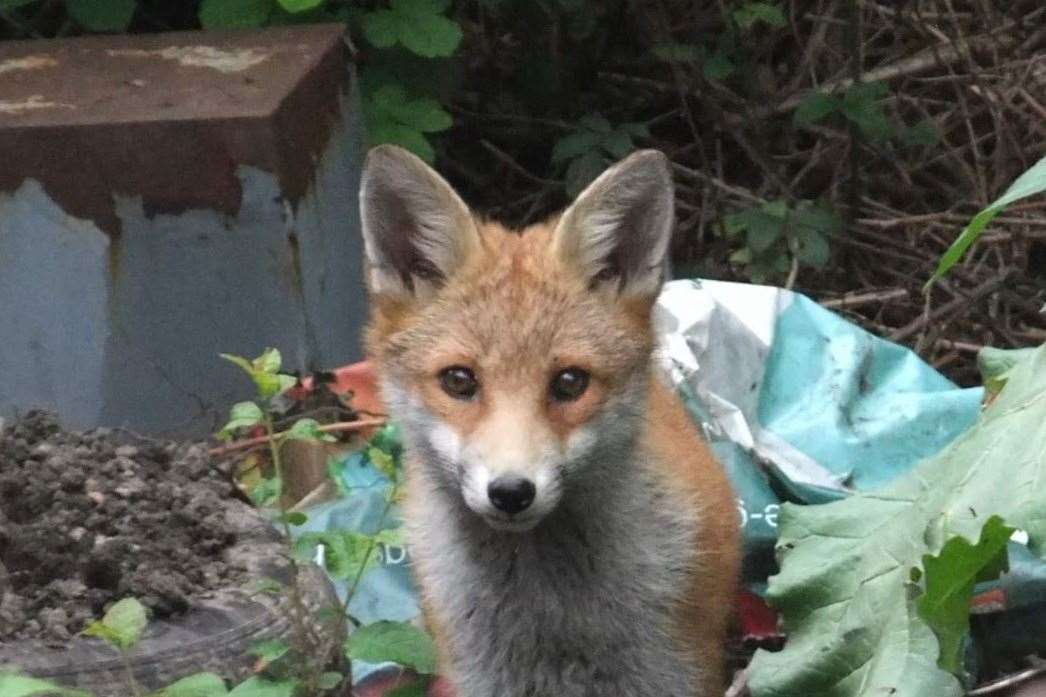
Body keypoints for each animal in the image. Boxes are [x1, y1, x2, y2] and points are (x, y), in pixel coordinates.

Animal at [359, 143, 744, 690]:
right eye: (459, 380)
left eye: (569, 382)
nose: (511, 492)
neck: (549, 623)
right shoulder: (482, 679)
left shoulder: (675, 672)